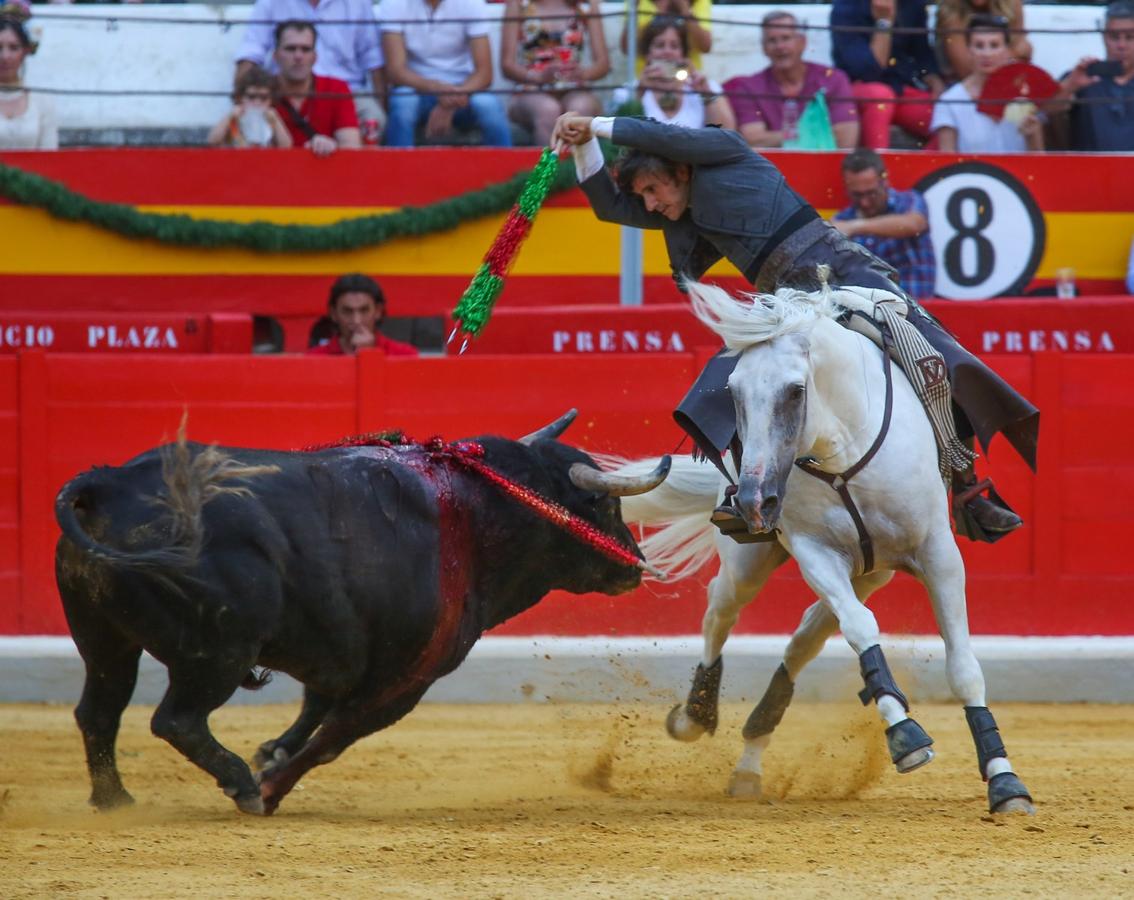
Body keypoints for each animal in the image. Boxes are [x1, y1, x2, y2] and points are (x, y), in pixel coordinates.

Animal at [53, 414, 666, 811]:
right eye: (605, 503)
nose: (636, 563)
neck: (478, 512)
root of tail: (111, 481)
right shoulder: (409, 675)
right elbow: (335, 734)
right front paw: (270, 784)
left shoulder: (339, 645)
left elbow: (315, 709)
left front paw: (271, 754)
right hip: (219, 651)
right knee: (175, 719)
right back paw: (241, 786)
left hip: (102, 635)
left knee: (99, 711)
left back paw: (115, 800)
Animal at [616, 282, 1034, 811]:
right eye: (733, 393)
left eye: (795, 391)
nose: (754, 500)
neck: (843, 452)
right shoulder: (814, 551)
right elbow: (862, 627)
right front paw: (906, 735)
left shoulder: (938, 554)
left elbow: (962, 666)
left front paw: (1005, 779)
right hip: (751, 563)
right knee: (721, 611)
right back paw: (696, 715)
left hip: (872, 571)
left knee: (802, 639)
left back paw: (751, 757)